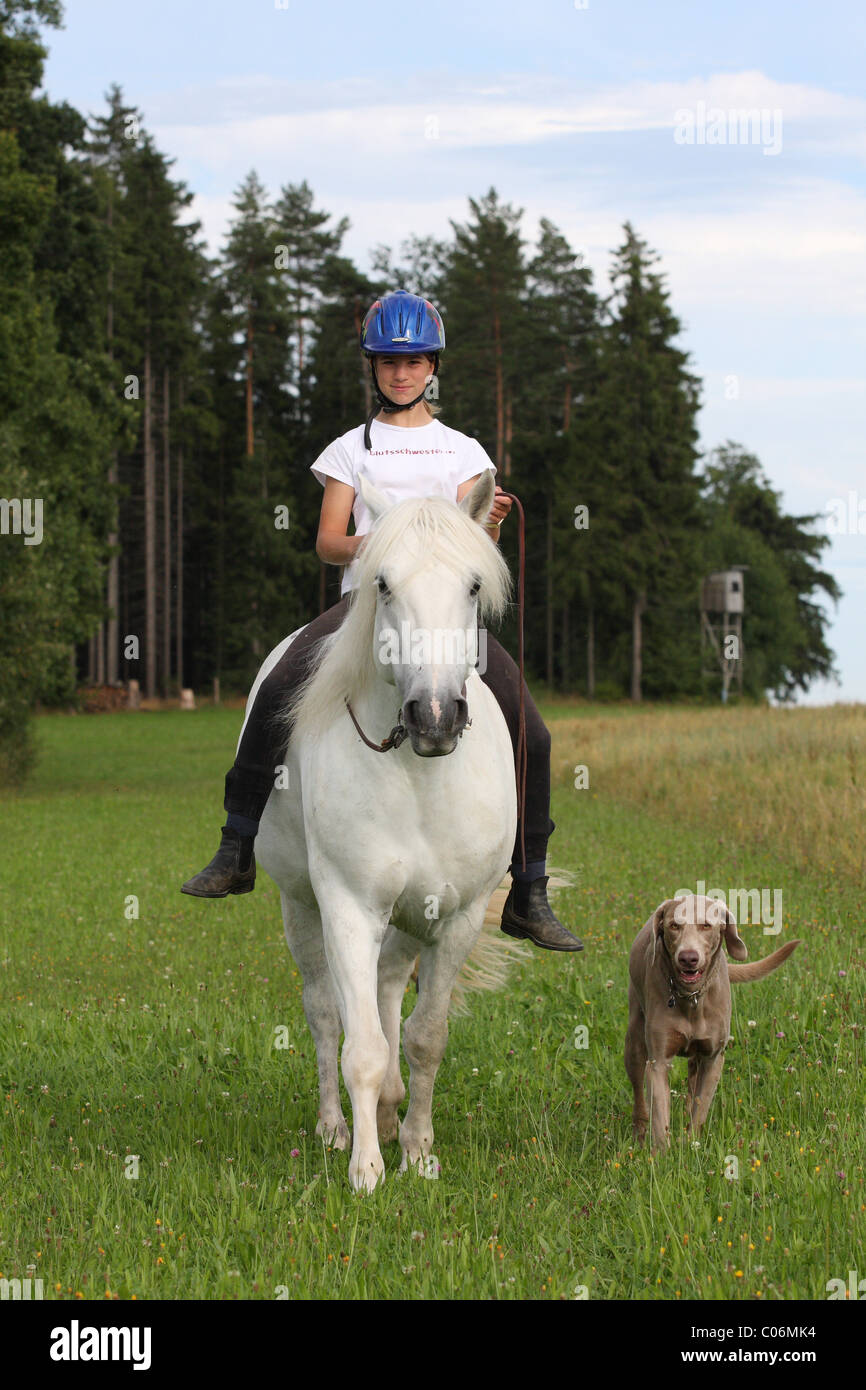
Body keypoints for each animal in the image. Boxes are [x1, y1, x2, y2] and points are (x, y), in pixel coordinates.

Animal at [248, 469, 517, 1192]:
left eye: (473, 586)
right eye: (384, 585)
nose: (435, 716)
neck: (418, 774)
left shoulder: (457, 917)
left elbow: (425, 1037)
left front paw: (418, 1151)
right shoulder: (347, 906)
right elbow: (360, 1043)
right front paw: (366, 1169)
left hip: (408, 917)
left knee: (390, 988)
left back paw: (394, 1114)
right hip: (299, 906)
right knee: (325, 1010)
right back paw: (334, 1128)